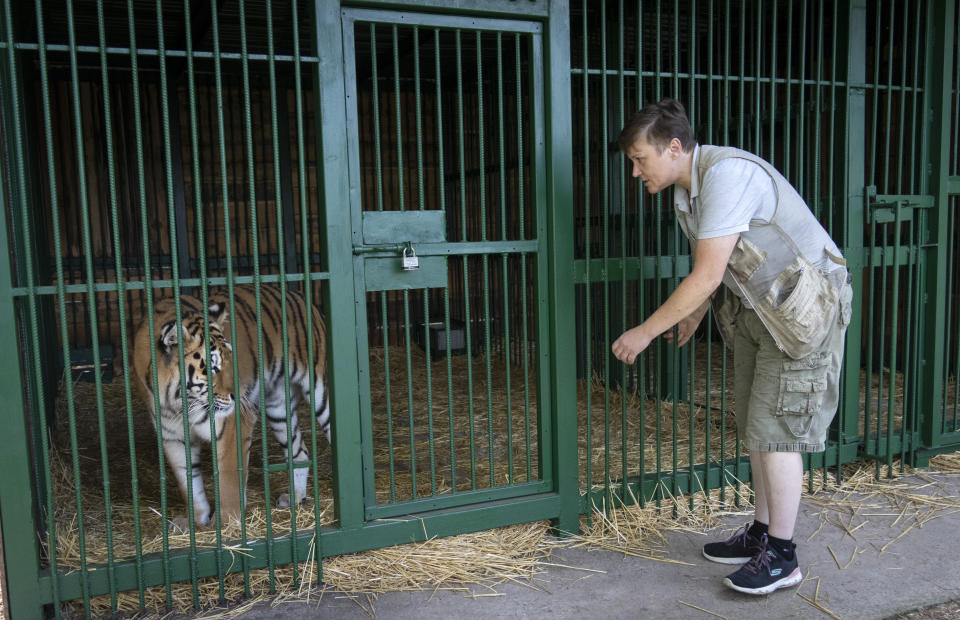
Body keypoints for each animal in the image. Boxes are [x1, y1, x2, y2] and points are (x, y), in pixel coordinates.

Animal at [132, 284, 330, 532]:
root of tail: (299, 295)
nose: (240, 392)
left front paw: (227, 523)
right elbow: (188, 481)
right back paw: (295, 497)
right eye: (212, 367)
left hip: (320, 392)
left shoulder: (231, 426)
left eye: (230, 358)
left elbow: (228, 479)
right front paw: (195, 520)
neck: (178, 403)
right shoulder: (173, 437)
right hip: (278, 409)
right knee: (300, 451)